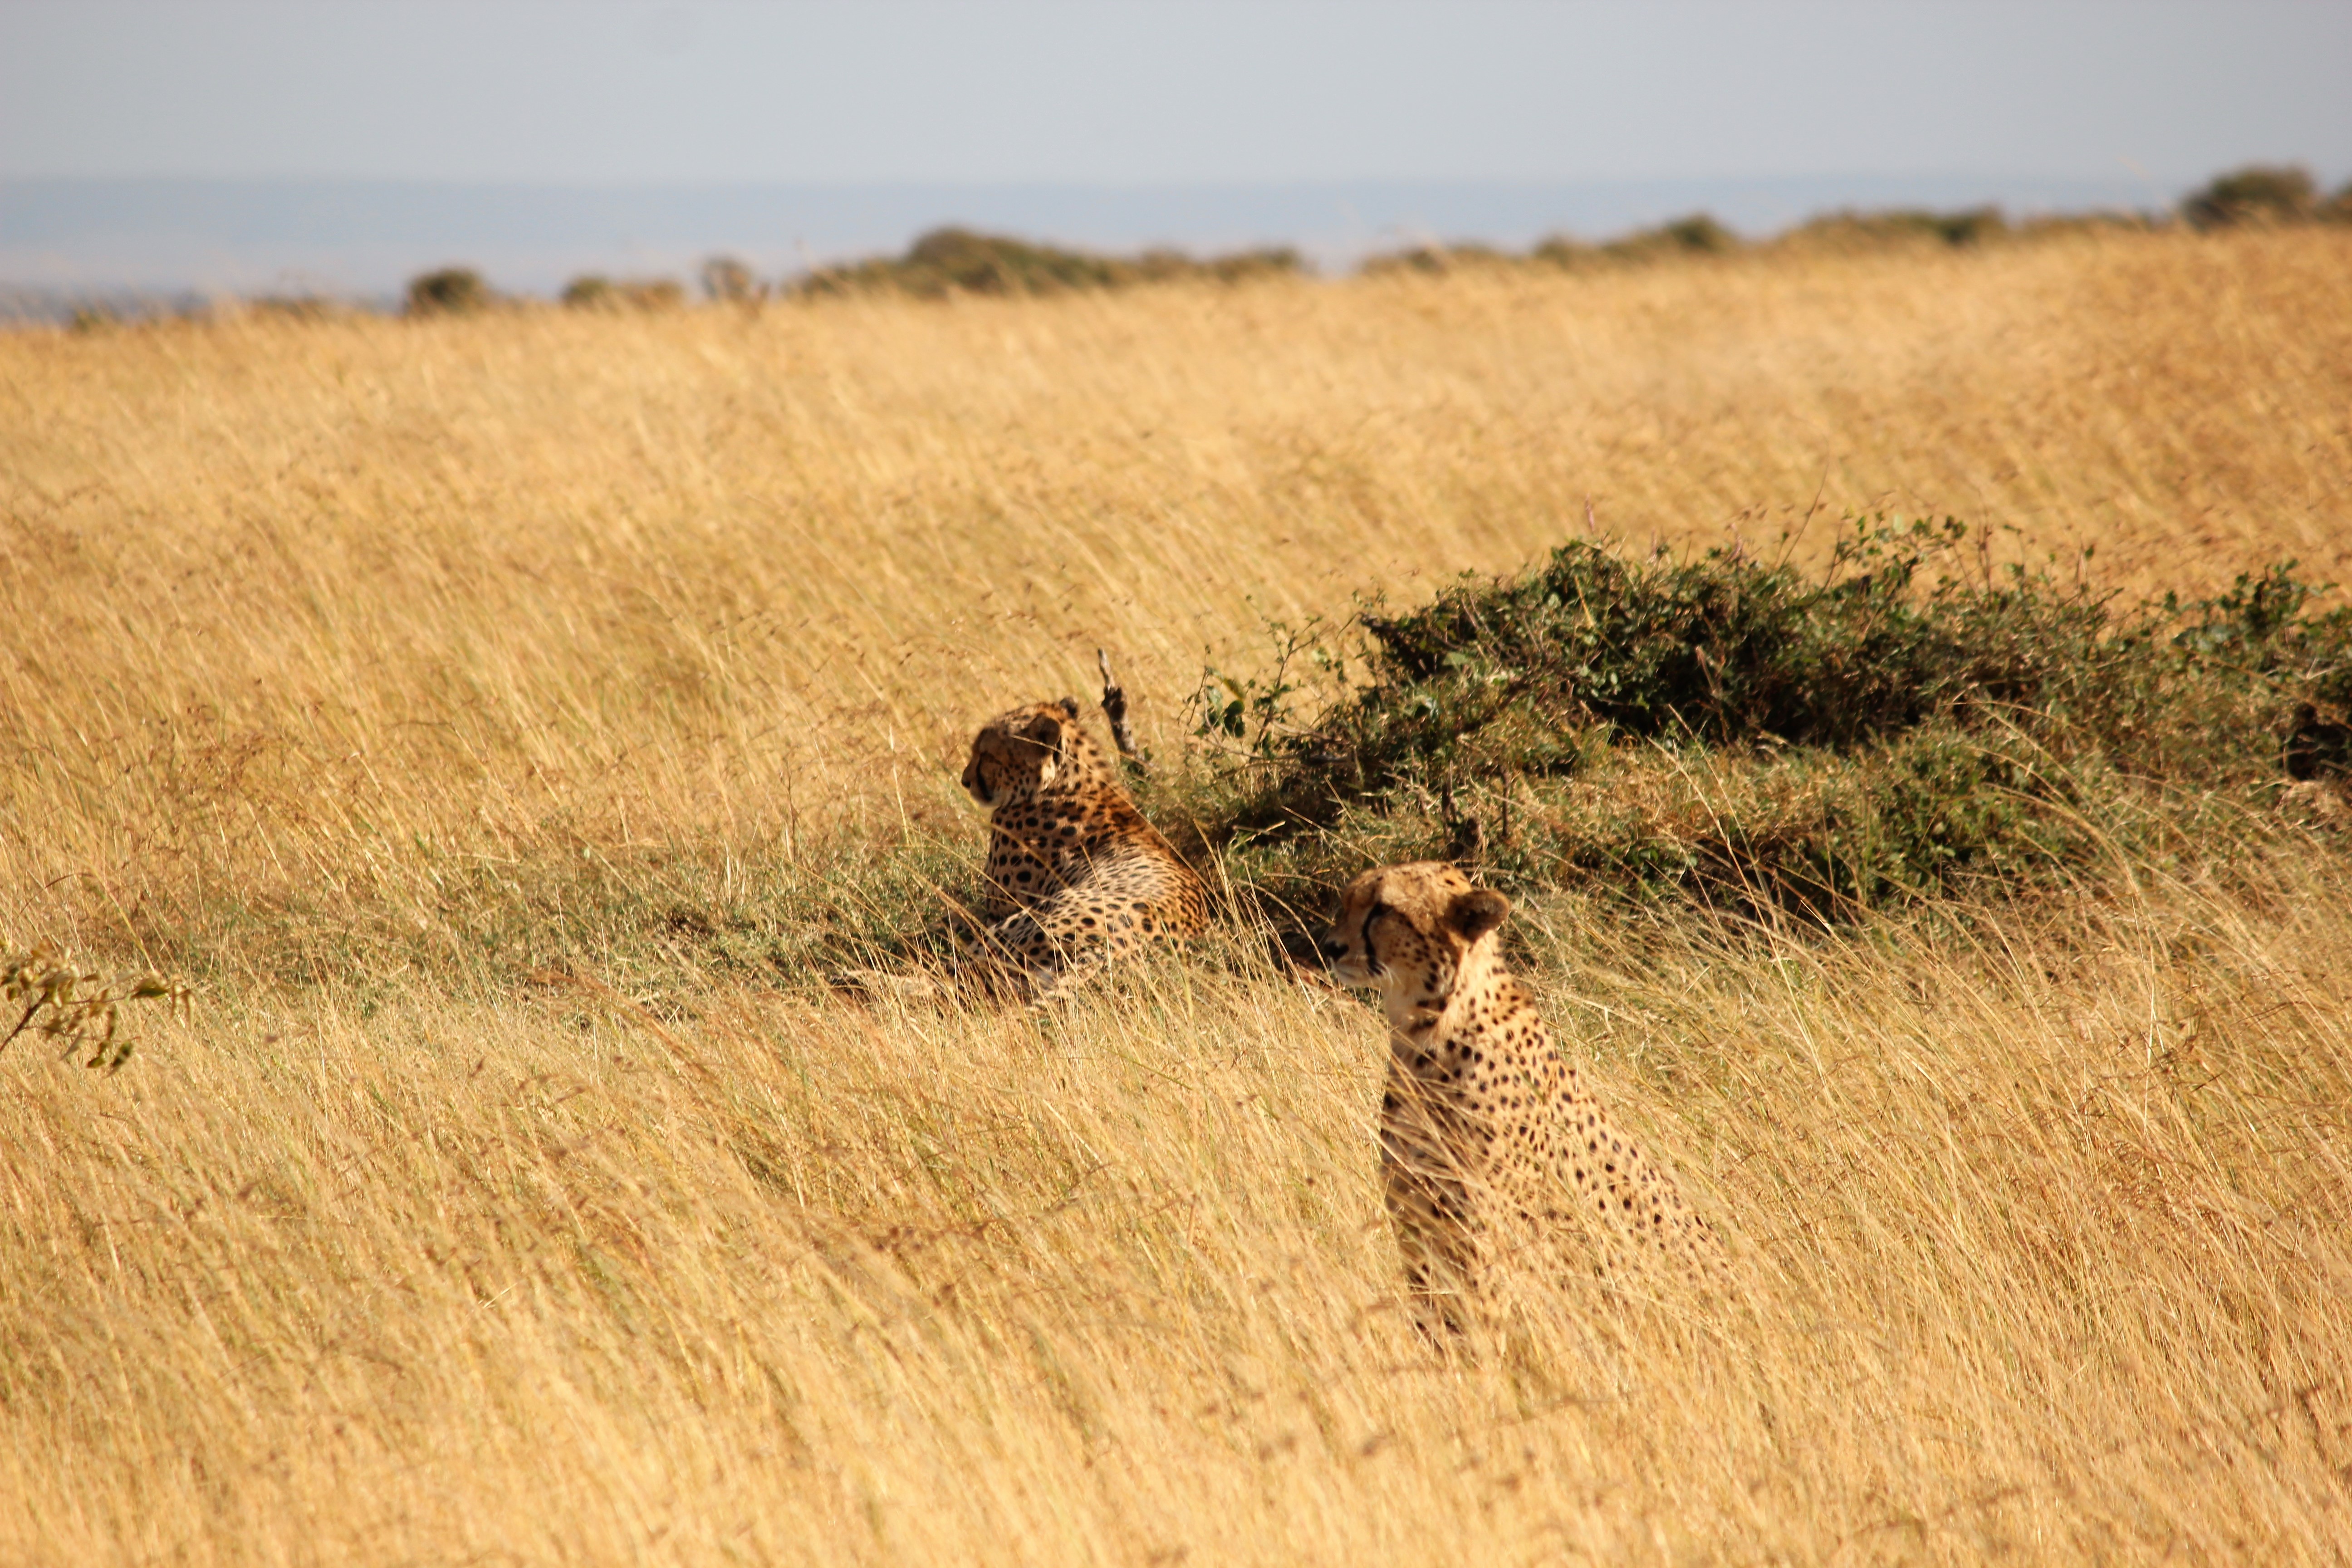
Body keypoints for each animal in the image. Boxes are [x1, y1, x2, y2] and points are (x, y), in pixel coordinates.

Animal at [950, 697, 1209, 1002]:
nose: (966, 781)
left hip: (1017, 928)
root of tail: (1114, 951)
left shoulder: (997, 913)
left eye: (986, 755)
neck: (1065, 785)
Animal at [1318, 860, 1722, 1334]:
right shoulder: (1417, 1225)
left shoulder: (1484, 1238)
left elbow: (1481, 1325)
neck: (1431, 1026)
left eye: (1383, 910)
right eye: (1346, 901)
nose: (1331, 947)